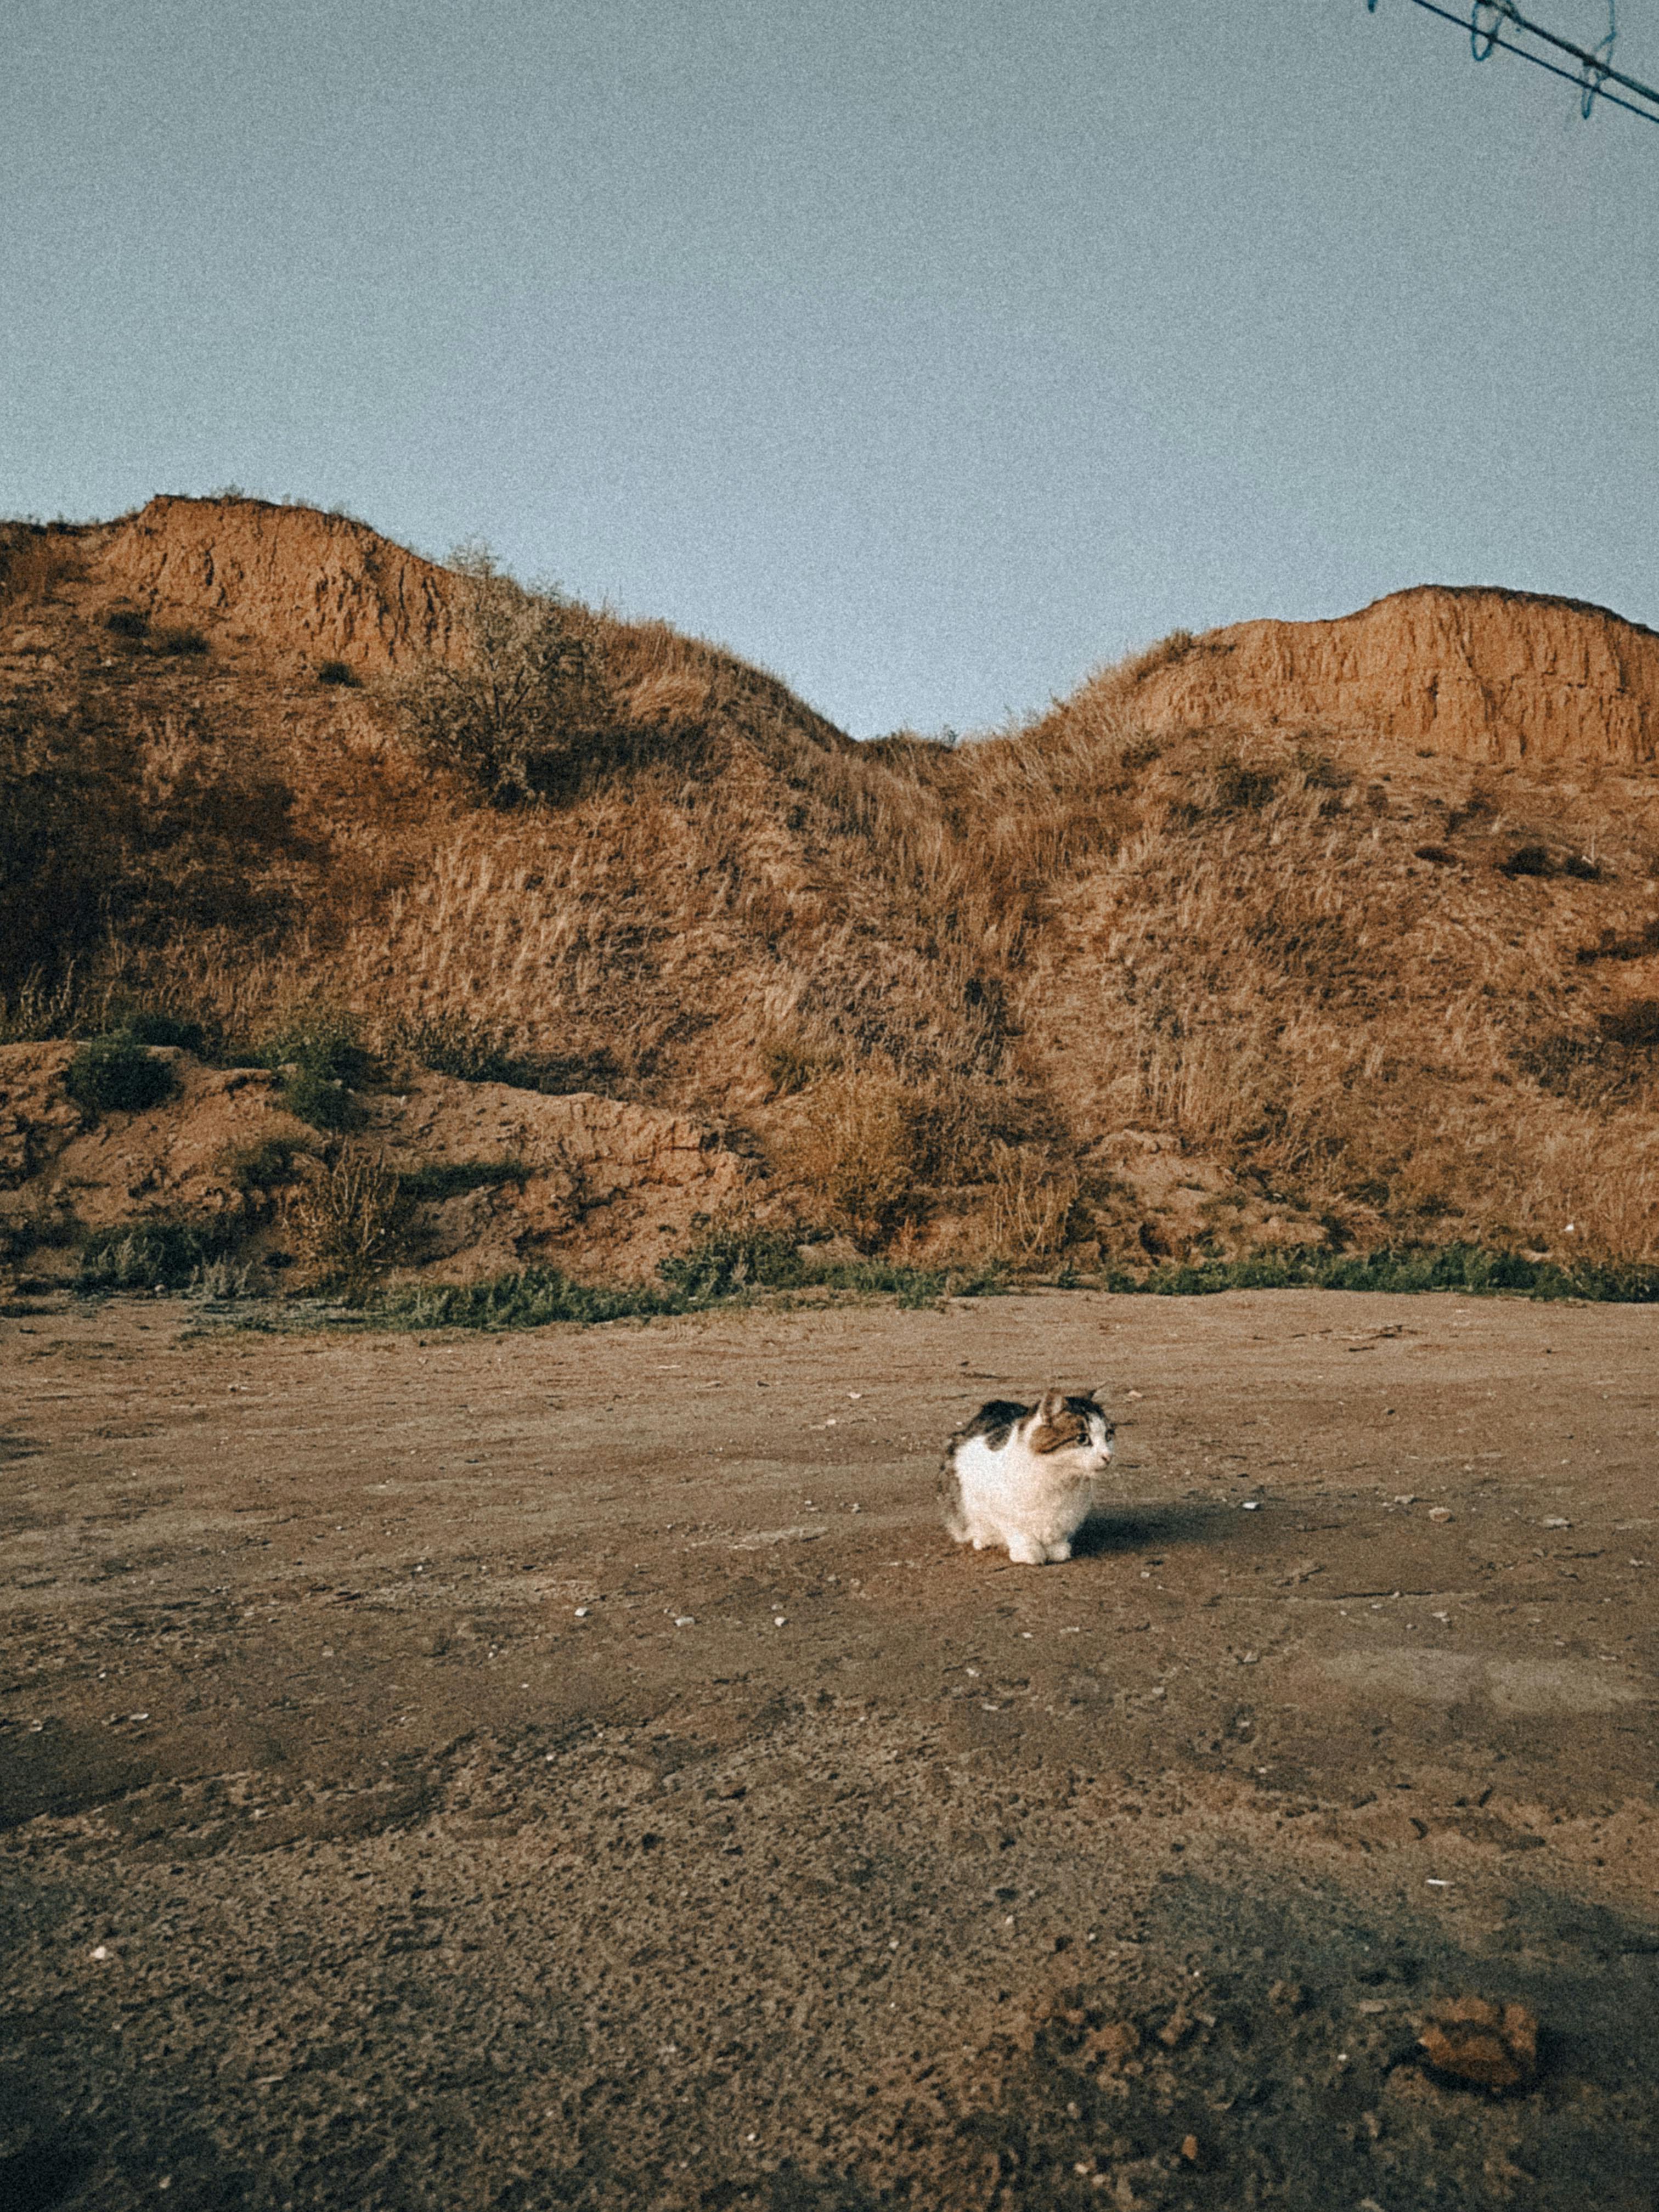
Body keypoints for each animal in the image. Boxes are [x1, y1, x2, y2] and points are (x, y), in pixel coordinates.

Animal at [946, 1389, 1119, 1566]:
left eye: (1108, 1435)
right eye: (1082, 1439)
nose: (1108, 1456)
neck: (1059, 1478)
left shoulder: (1065, 1519)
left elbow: (1055, 1538)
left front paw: (1057, 1551)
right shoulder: (994, 1506)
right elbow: (1019, 1533)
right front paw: (1029, 1553)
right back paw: (983, 1541)